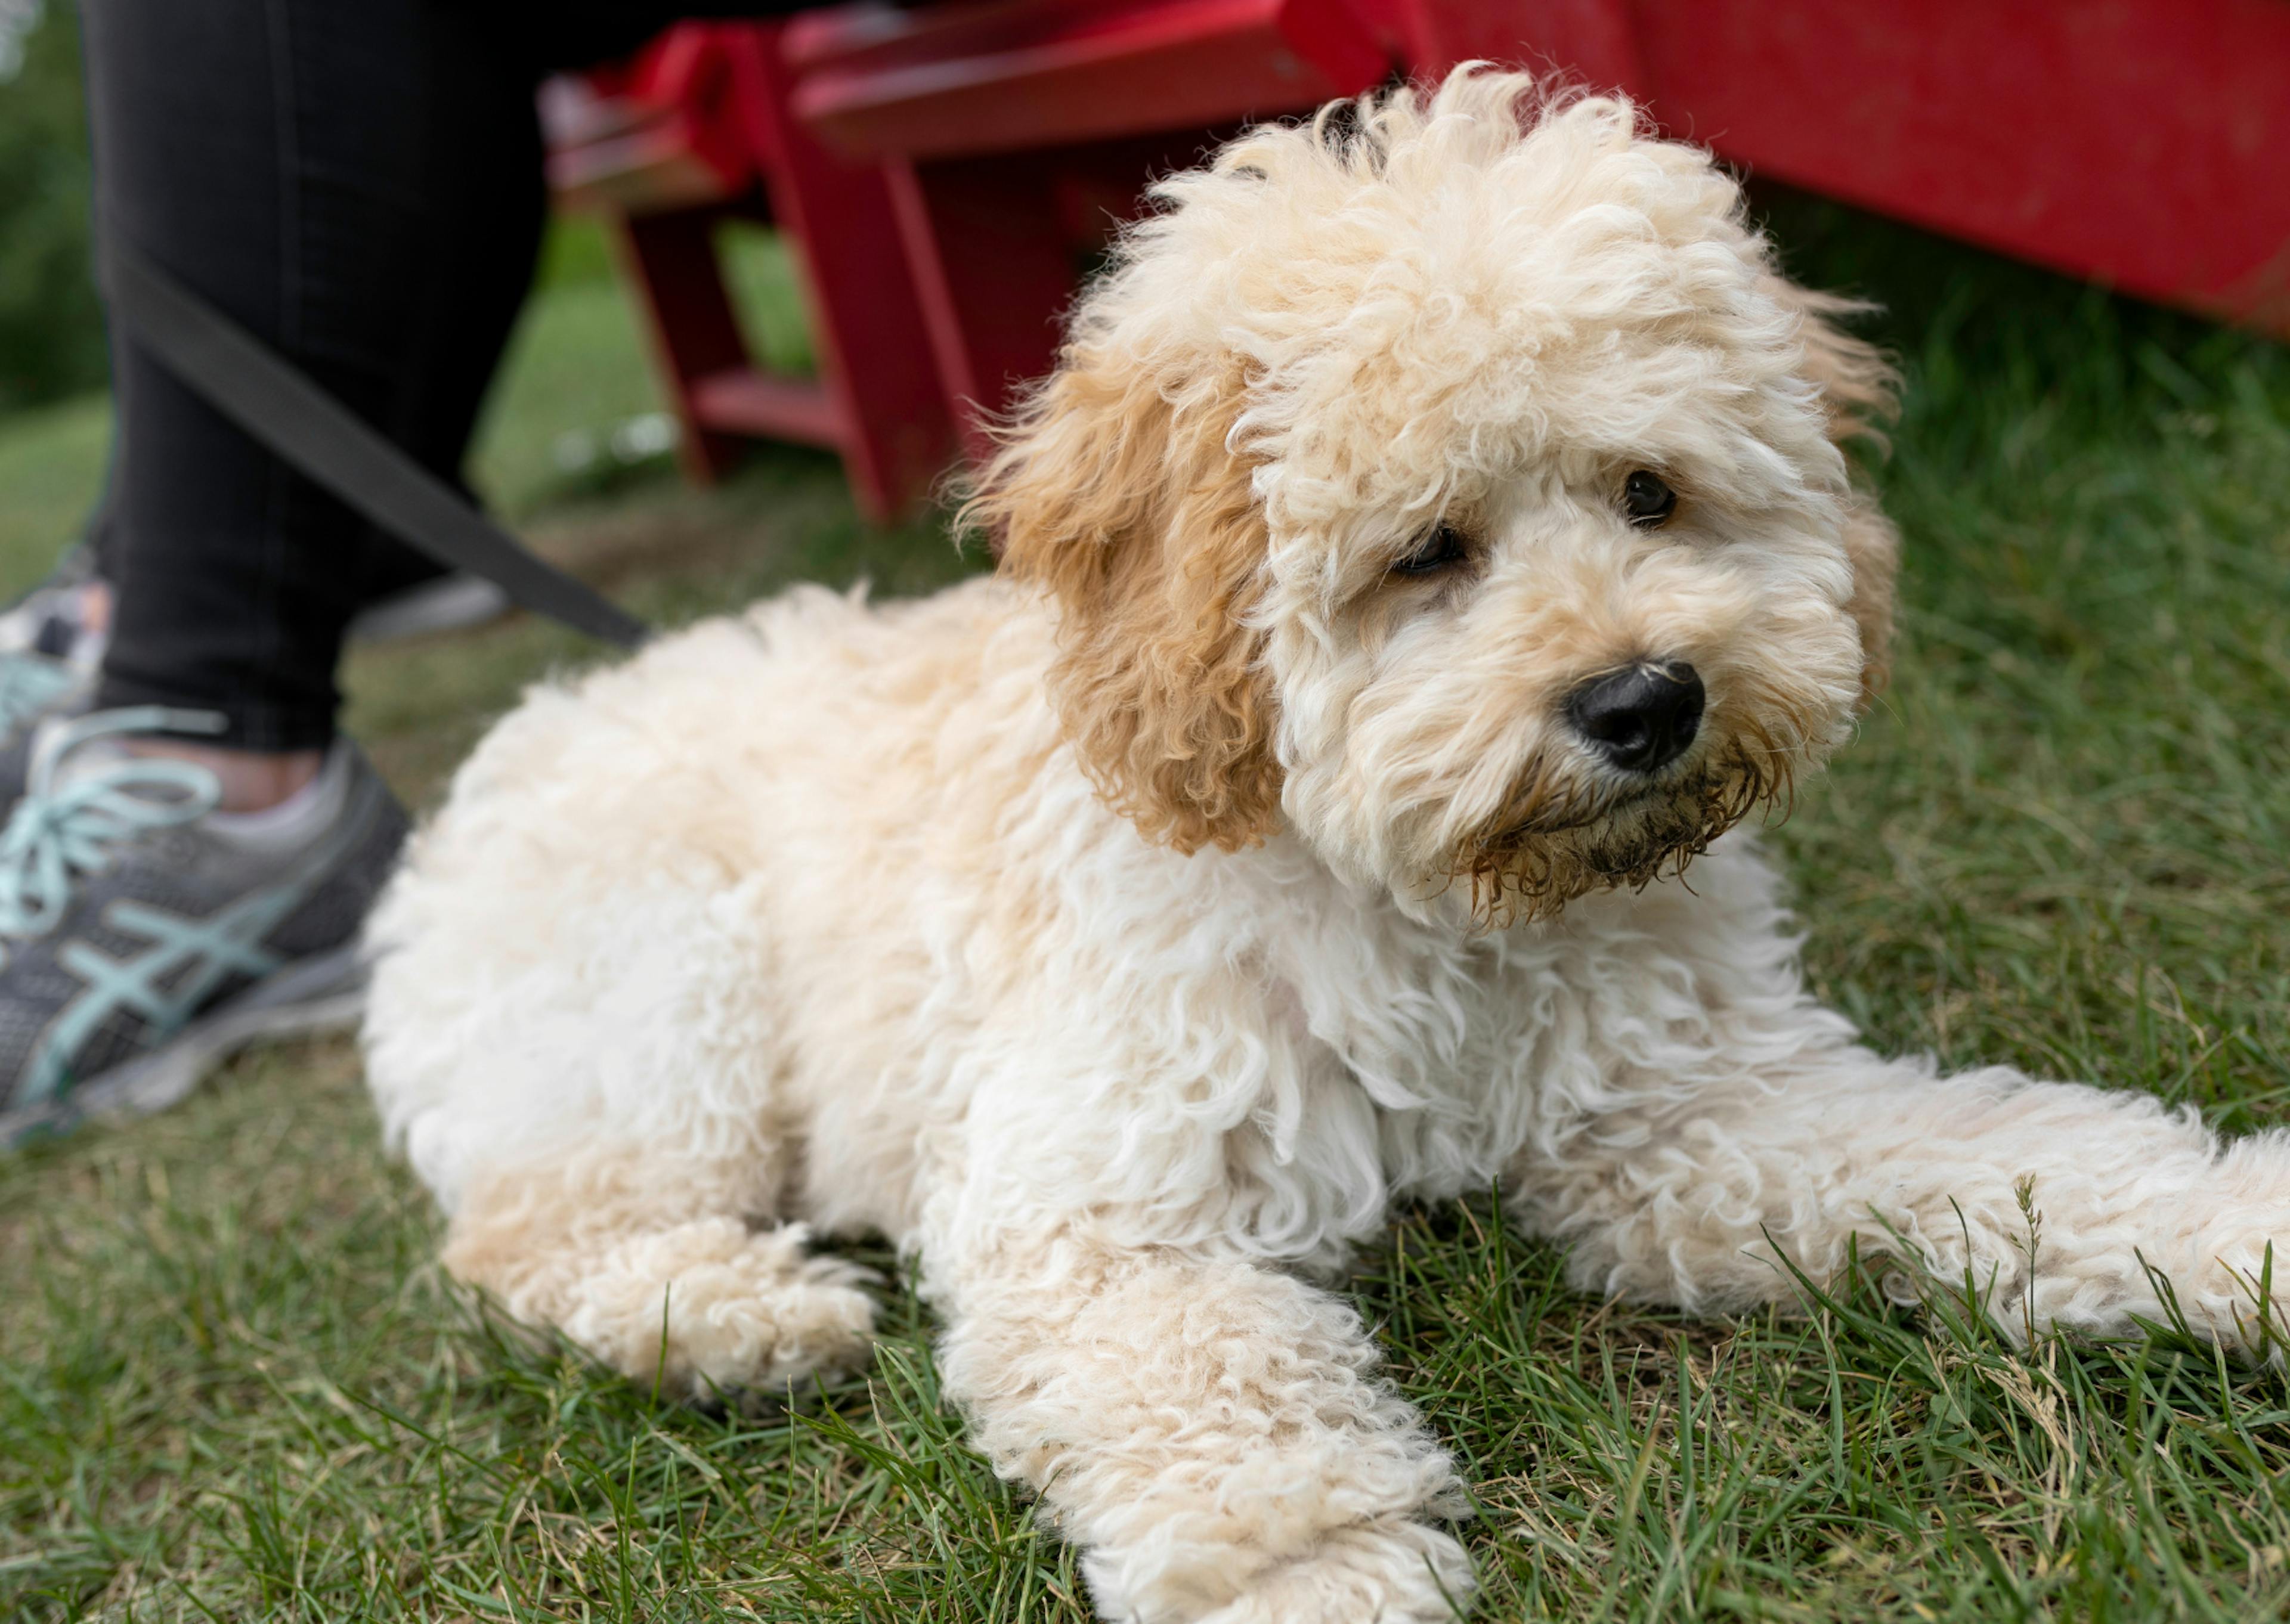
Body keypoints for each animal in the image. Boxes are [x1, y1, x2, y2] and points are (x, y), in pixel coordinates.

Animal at [357, 66, 2290, 1622]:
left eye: (1649, 492)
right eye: (1425, 550)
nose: (1644, 700)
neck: (1426, 898)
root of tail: (542, 723)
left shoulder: (1692, 1117)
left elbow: (1993, 1154)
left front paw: (2229, 1230)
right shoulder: (1094, 1195)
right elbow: (1215, 1386)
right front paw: (1316, 1573)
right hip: (645, 1006)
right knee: (536, 1231)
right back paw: (737, 1318)